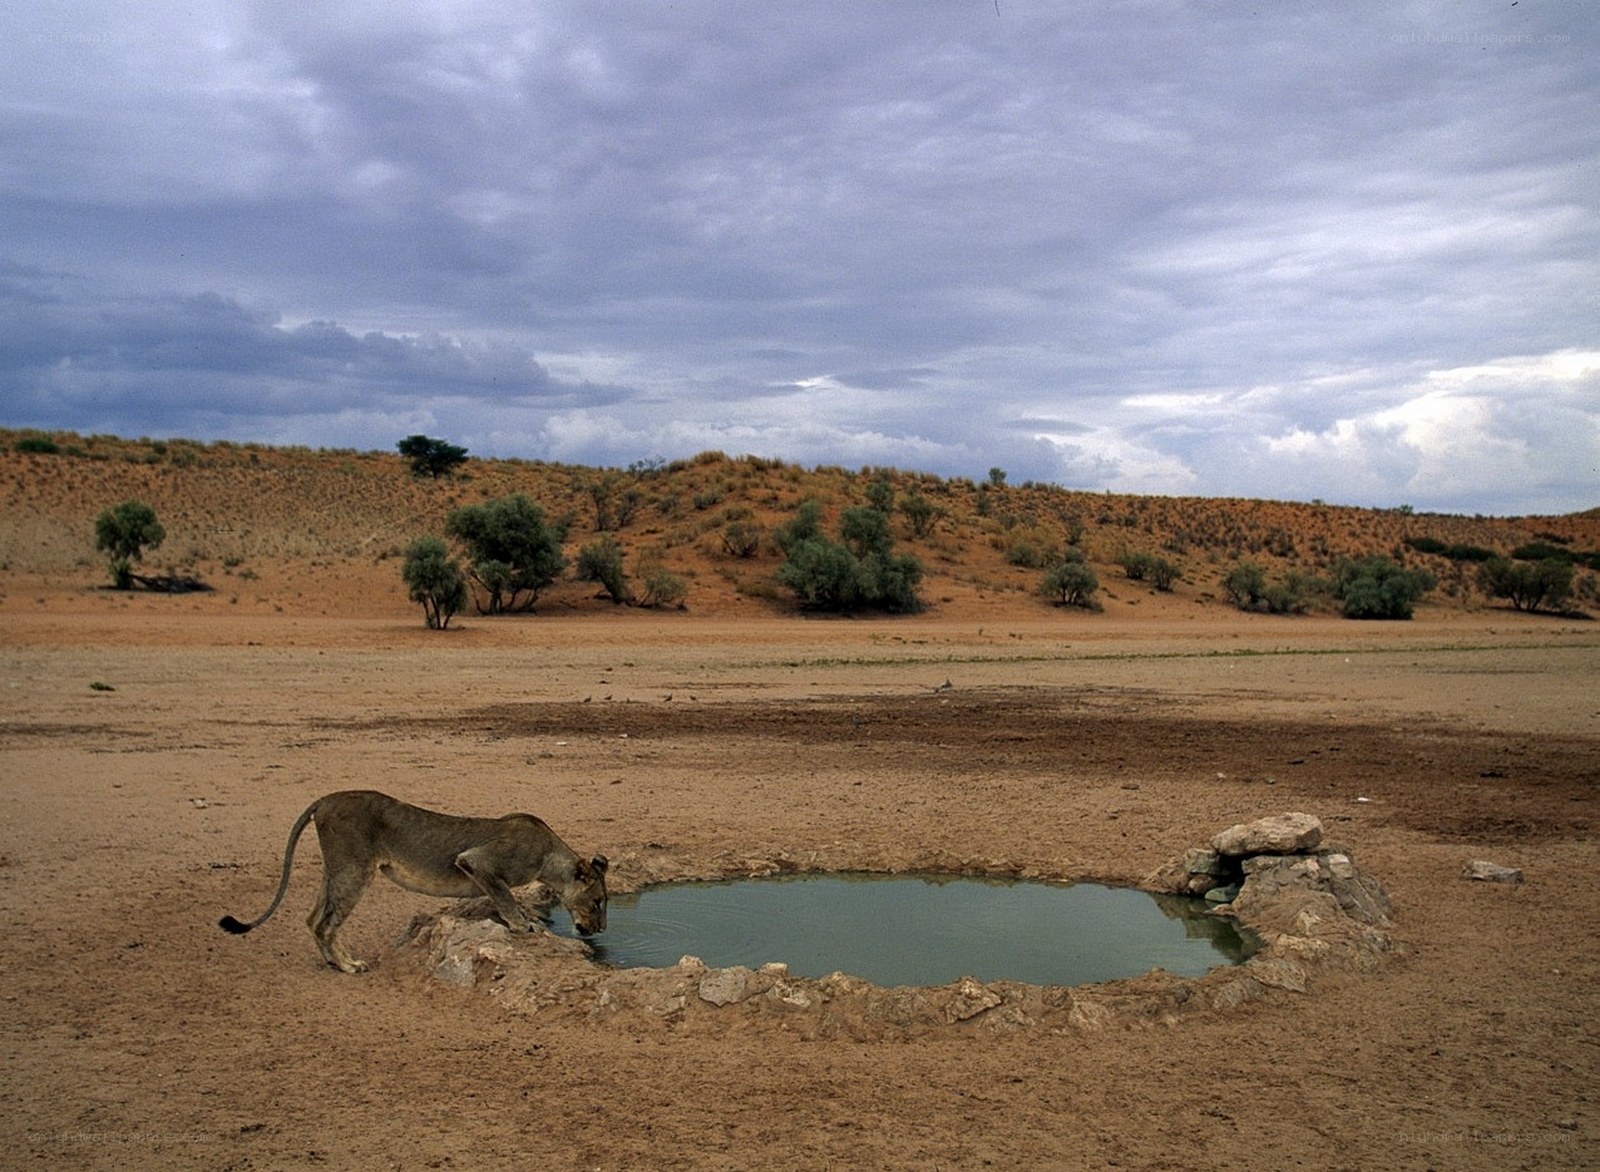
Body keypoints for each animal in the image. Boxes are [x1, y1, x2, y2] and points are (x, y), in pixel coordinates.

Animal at [218, 790, 608, 973]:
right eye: (599, 902)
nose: (602, 929)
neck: (549, 855)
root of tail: (326, 799)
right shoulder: (477, 861)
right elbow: (505, 898)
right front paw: (523, 925)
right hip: (355, 869)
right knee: (326, 924)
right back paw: (349, 966)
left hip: (336, 868)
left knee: (313, 918)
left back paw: (332, 962)